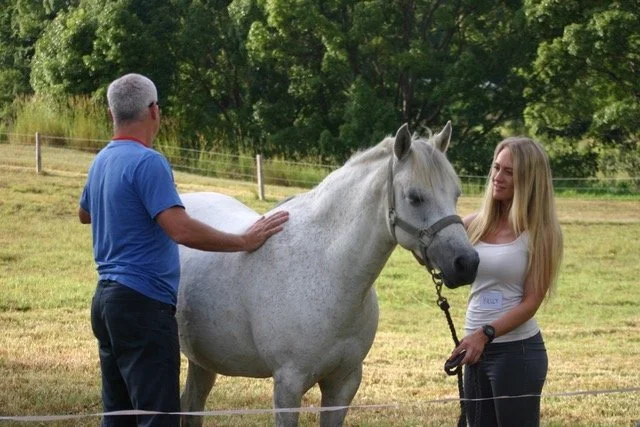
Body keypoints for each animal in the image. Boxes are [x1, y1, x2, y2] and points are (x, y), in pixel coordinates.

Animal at [176, 122, 479, 426]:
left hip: (203, 363)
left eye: (456, 194)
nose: (466, 263)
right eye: (415, 197)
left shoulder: (344, 382)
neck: (328, 271)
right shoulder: (288, 385)